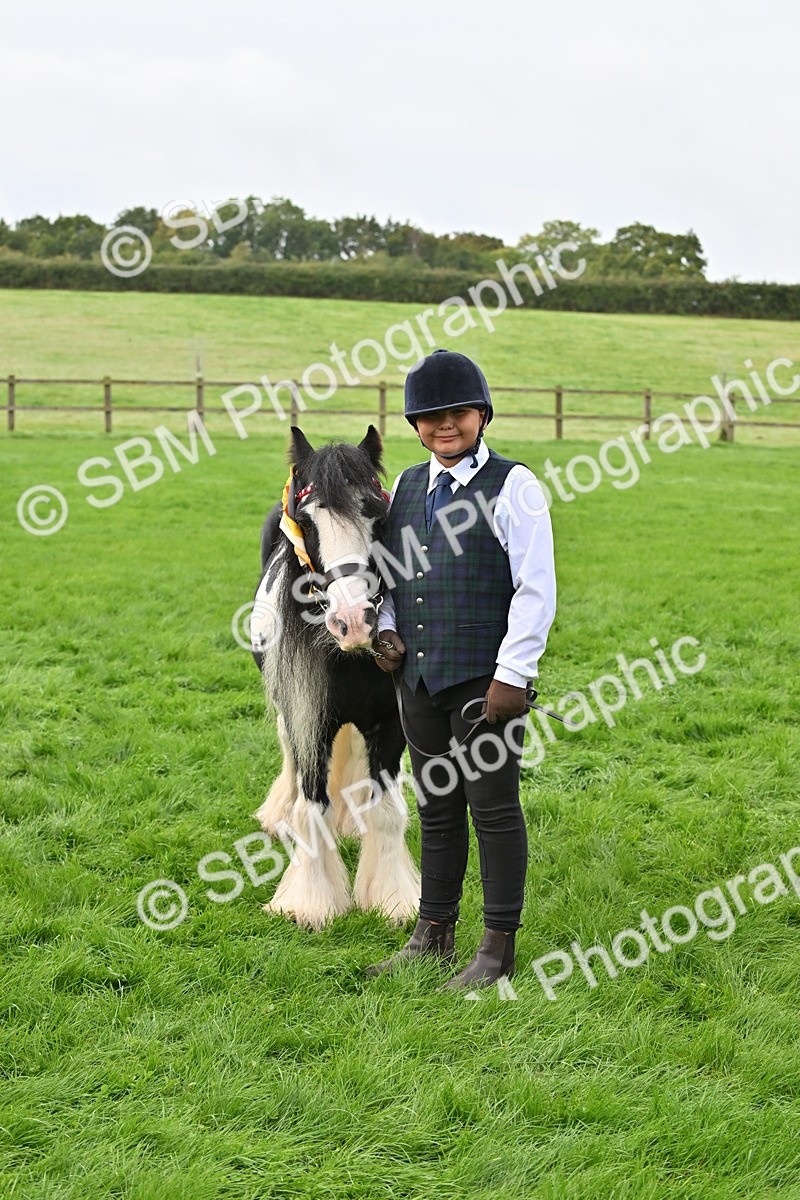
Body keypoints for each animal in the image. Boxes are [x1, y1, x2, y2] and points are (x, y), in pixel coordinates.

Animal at [250, 425, 420, 931]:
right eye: (307, 522)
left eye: (377, 515)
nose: (354, 621)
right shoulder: (310, 721)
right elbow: (312, 807)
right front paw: (308, 902)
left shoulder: (389, 725)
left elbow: (387, 810)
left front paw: (393, 899)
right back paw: (278, 814)